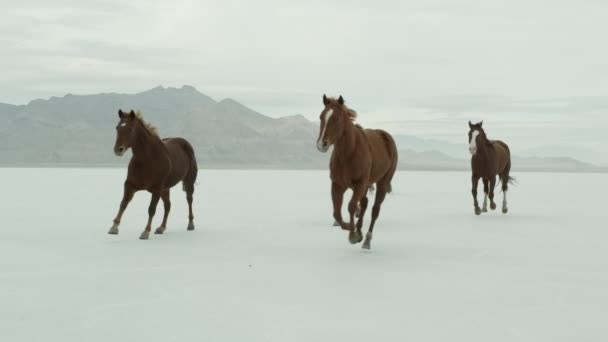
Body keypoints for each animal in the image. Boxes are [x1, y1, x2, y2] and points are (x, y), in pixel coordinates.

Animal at [107, 109, 197, 238]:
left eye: (130, 129)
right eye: (117, 127)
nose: (118, 150)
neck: (146, 159)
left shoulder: (157, 189)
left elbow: (151, 209)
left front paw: (145, 231)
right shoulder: (130, 185)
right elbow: (123, 204)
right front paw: (114, 227)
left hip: (188, 182)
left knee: (189, 200)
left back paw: (190, 224)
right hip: (166, 188)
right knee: (168, 206)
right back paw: (161, 228)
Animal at [318, 95, 400, 250]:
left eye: (337, 118)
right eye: (321, 116)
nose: (321, 144)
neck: (349, 153)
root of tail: (386, 136)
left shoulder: (360, 184)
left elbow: (351, 206)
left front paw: (353, 234)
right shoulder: (337, 184)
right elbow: (337, 213)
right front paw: (352, 229)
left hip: (382, 182)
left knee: (375, 209)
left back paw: (367, 239)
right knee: (365, 204)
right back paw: (360, 230)